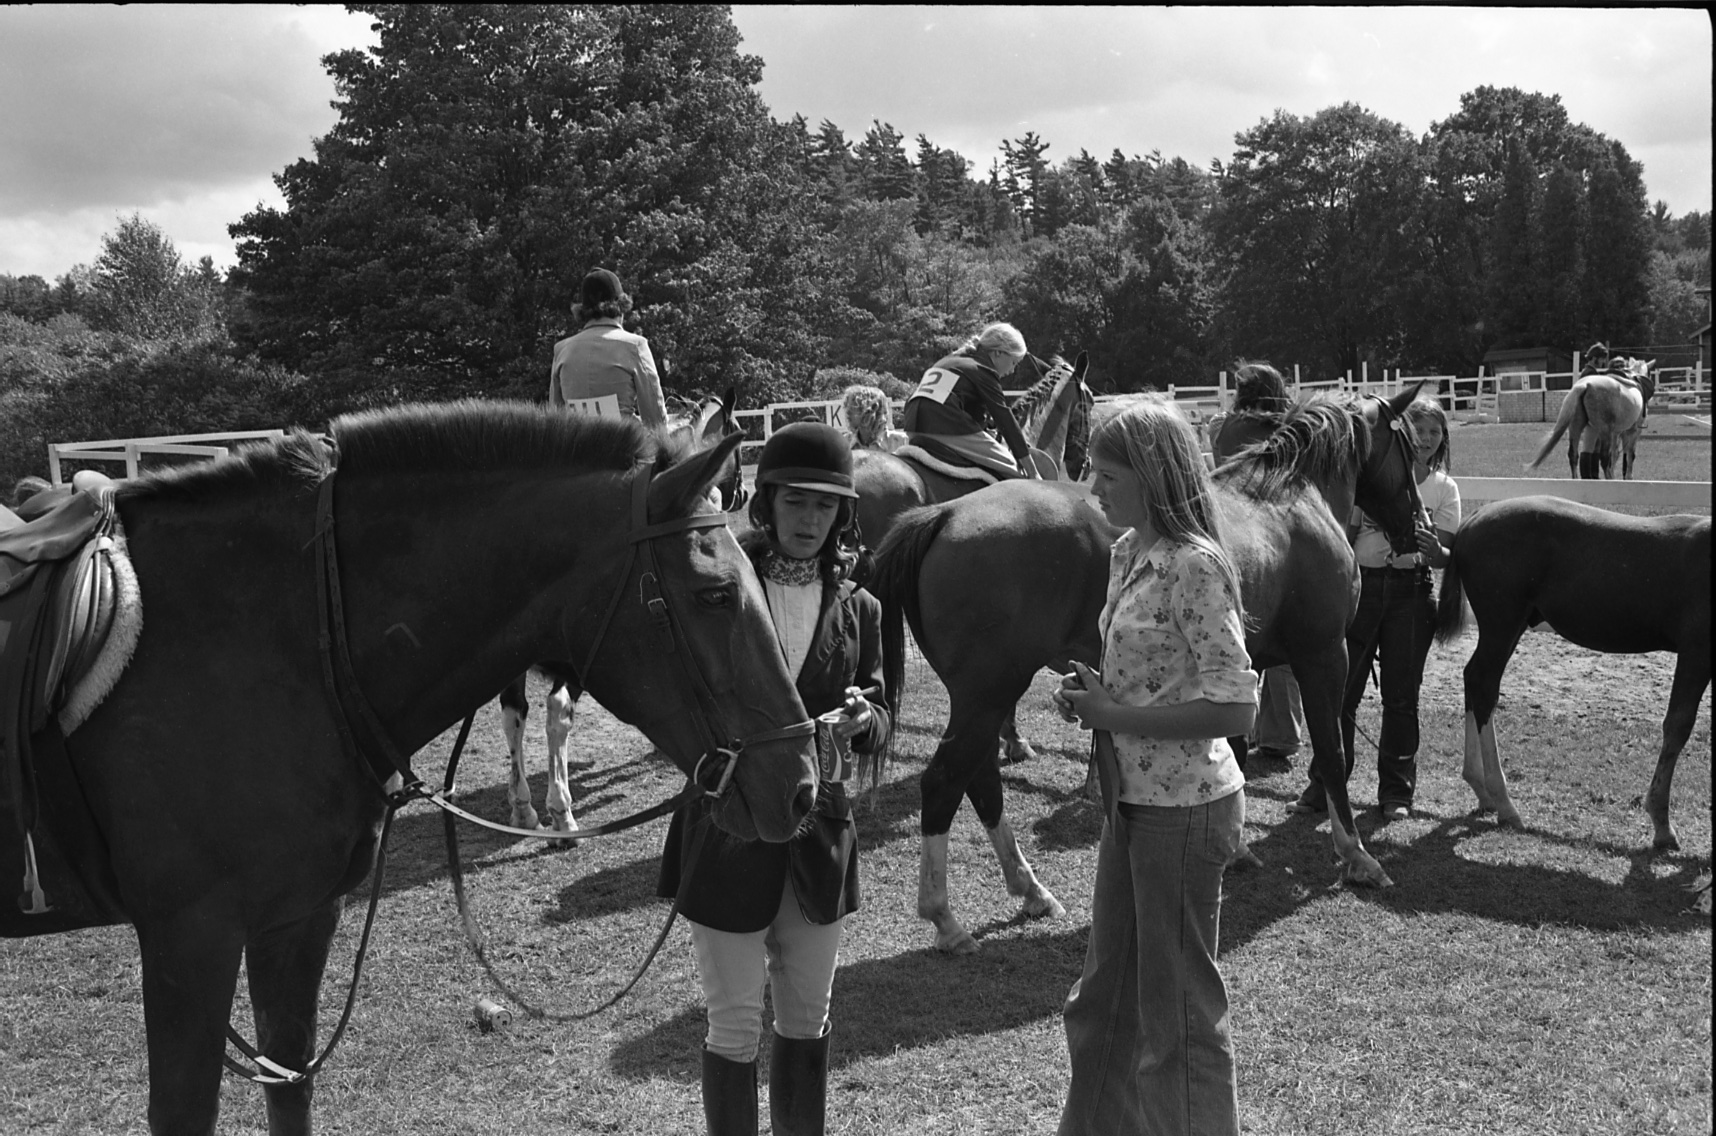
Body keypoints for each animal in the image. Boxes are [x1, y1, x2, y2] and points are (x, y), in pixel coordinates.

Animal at [0, 406, 816, 1136]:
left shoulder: (296, 918)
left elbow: (289, 1091)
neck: (280, 636)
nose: (802, 785)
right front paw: (553, 813)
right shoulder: (188, 939)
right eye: (716, 594)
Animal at [871, 389, 1420, 954]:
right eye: (1411, 445)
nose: (1415, 525)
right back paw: (946, 919)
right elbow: (1332, 755)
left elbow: (1235, 750)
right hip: (989, 693)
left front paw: (1236, 848)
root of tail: (944, 513)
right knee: (943, 783)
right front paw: (1357, 856)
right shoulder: (1325, 655)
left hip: (982, 698)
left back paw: (1030, 889)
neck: (1286, 501)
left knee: (979, 781)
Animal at [1434, 497, 1702, 854]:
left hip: (1510, 627)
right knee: (1483, 685)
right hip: (1502, 624)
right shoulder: (1696, 652)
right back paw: (1504, 802)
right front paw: (1662, 825)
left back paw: (1482, 790)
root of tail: (1474, 519)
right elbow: (1677, 727)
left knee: (1473, 680)